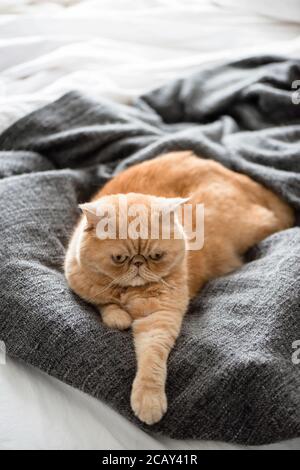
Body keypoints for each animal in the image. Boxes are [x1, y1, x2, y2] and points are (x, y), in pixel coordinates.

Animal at [64, 151, 294, 426]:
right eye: (119, 259)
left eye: (156, 256)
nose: (138, 263)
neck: (129, 291)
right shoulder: (81, 283)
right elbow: (102, 302)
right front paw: (117, 316)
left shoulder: (159, 318)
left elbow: (152, 361)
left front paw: (149, 401)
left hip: (256, 226)